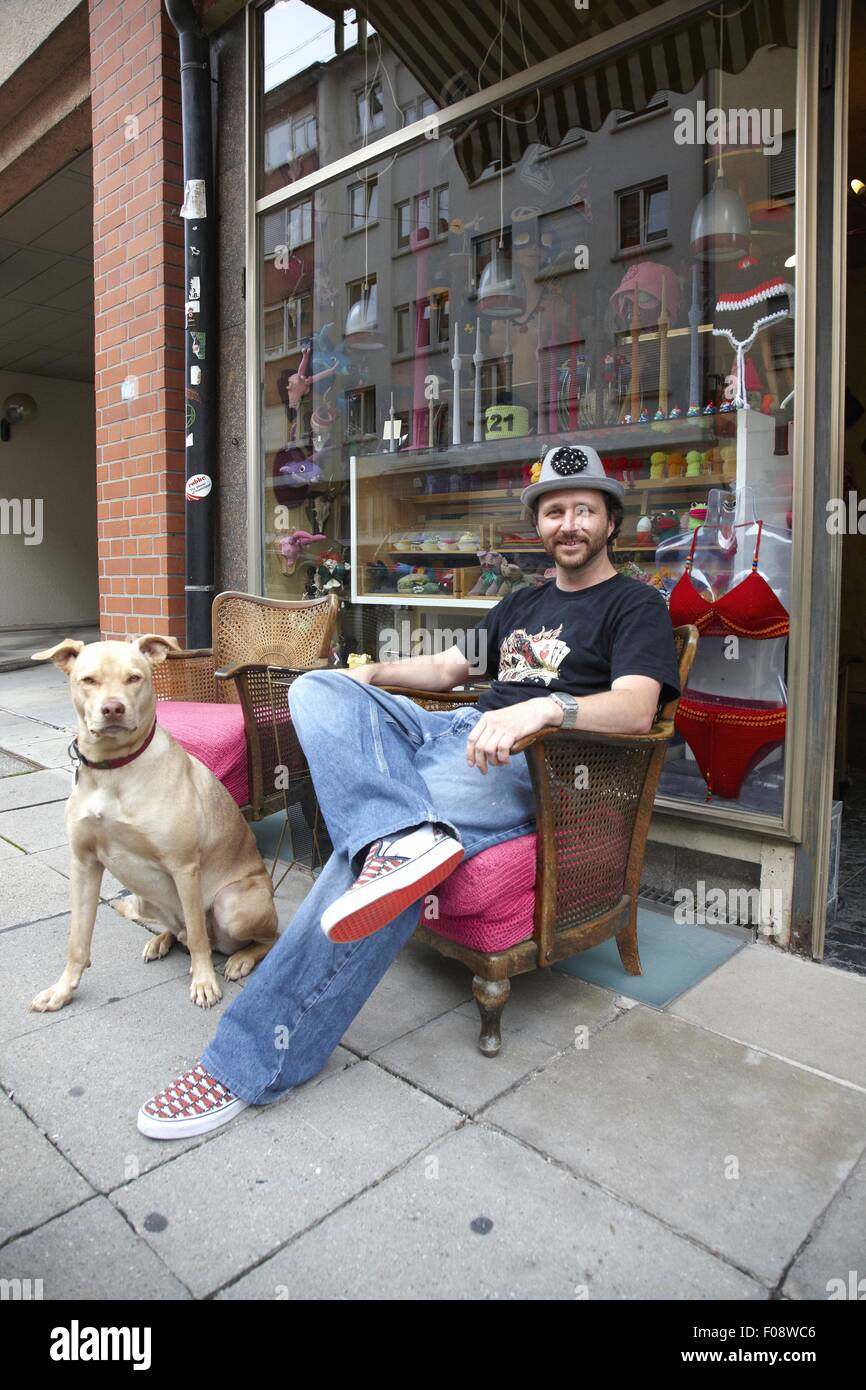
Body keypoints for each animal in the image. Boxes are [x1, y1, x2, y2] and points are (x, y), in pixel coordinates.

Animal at [28, 636, 278, 1011]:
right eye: (88, 680)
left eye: (134, 678)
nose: (113, 709)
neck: (113, 769)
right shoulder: (84, 864)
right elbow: (77, 940)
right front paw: (63, 990)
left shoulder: (184, 867)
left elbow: (199, 940)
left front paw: (204, 982)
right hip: (142, 897)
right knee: (182, 931)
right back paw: (161, 940)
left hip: (232, 904)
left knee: (256, 937)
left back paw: (241, 958)